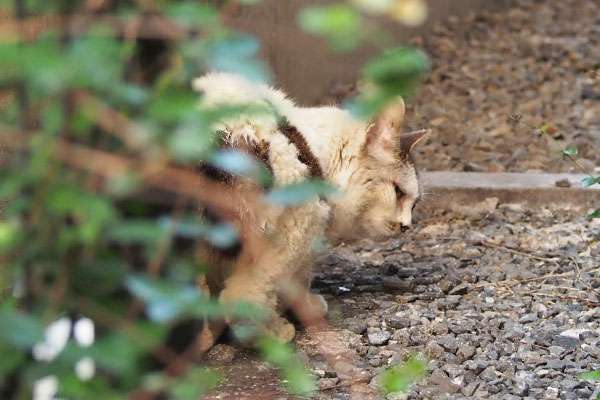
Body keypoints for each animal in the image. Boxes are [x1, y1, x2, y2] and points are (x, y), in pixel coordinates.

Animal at [192, 72, 426, 346]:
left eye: (414, 203)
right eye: (398, 192)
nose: (406, 225)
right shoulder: (306, 226)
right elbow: (298, 281)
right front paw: (306, 308)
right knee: (243, 299)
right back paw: (273, 334)